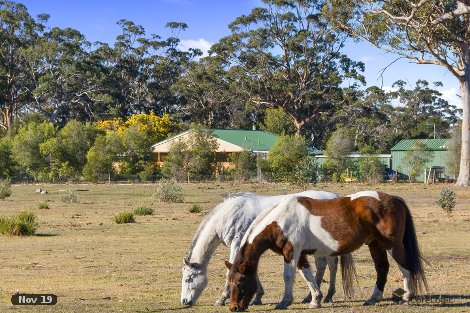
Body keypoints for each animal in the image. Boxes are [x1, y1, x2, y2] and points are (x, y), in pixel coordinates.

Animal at [180, 190, 348, 304]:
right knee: (327, 266)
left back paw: (323, 296)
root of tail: (333, 196)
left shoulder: (237, 244)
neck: (227, 215)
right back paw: (317, 296)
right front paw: (258, 296)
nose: (184, 301)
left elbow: (231, 269)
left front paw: (222, 298)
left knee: (328, 266)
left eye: (188, 279)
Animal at [226, 190, 428, 310]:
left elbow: (289, 277)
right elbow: (307, 275)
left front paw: (284, 302)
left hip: (392, 245)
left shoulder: (291, 252)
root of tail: (394, 199)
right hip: (375, 244)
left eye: (240, 281)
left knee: (404, 267)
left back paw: (407, 296)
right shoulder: (300, 254)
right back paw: (373, 298)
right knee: (382, 269)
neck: (280, 220)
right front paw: (316, 299)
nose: (233, 307)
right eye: (230, 281)